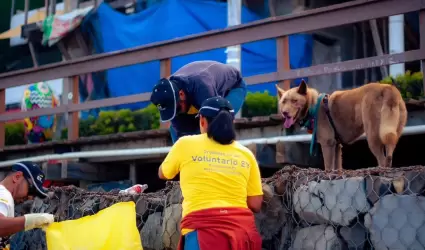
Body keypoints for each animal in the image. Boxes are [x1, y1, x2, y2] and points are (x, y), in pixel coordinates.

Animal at [276, 81, 406, 171]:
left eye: (294, 101)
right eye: (283, 102)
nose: (284, 113)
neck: (314, 107)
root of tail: (388, 88)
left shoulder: (327, 144)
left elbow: (328, 167)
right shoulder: (337, 146)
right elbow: (337, 168)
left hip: (373, 137)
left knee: (382, 159)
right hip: (391, 132)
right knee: (389, 153)